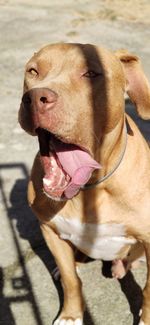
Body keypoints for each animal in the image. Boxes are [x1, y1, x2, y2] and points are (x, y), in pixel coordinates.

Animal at [18, 43, 150, 324]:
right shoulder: (49, 230)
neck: (91, 189)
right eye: (33, 71)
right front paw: (71, 315)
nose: (35, 98)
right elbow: (71, 281)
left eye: (91, 73)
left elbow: (149, 290)